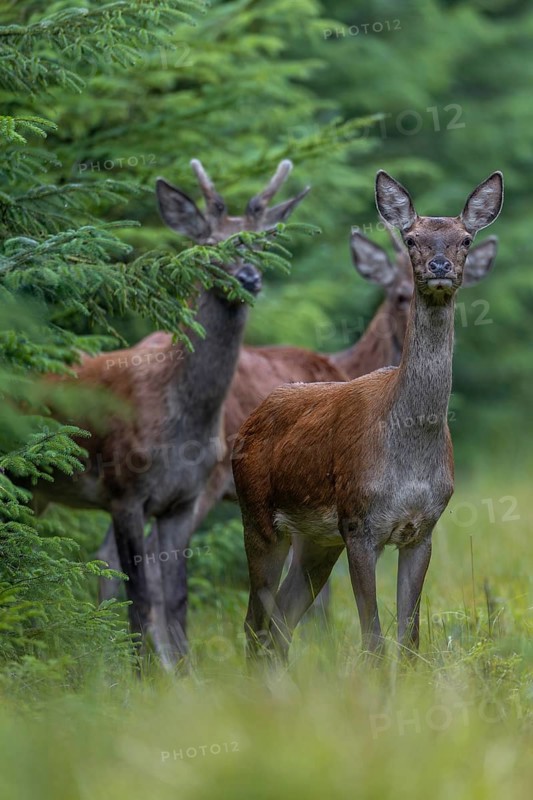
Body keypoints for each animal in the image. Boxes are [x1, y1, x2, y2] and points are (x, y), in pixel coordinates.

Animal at [31, 158, 310, 668]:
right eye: (211, 244)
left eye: (263, 242)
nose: (249, 277)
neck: (183, 422)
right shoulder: (123, 491)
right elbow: (141, 597)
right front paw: (145, 677)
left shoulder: (181, 499)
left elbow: (176, 599)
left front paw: (184, 675)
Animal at [232, 169, 503, 663]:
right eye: (412, 238)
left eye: (465, 239)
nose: (439, 266)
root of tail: (250, 419)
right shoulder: (359, 522)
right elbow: (373, 639)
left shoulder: (423, 528)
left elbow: (410, 639)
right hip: (258, 515)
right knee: (254, 624)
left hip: (316, 540)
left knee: (281, 624)